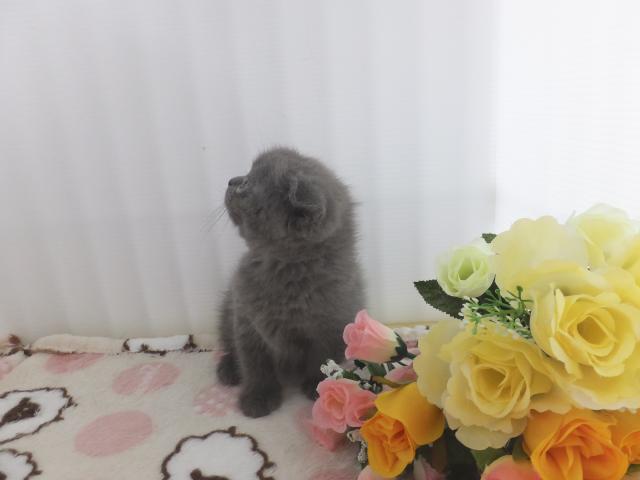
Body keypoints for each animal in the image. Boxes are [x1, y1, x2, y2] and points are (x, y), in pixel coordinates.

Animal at [216, 147, 364, 418]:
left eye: (247, 184)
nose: (232, 180)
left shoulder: (330, 325)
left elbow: (322, 358)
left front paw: (318, 386)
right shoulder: (247, 322)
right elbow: (254, 364)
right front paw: (258, 396)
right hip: (226, 310)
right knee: (229, 344)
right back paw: (229, 369)